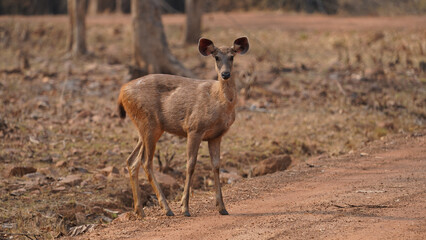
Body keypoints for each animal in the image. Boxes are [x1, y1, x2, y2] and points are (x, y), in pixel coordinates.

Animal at [117, 36, 250, 218]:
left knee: (132, 160)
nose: (225, 74)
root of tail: (122, 91)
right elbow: (191, 164)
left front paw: (222, 207)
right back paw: (167, 208)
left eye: (232, 57)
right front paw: (185, 207)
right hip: (150, 124)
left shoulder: (216, 135)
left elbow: (216, 166)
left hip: (144, 128)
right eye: (216, 57)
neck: (220, 101)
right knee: (146, 162)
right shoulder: (194, 128)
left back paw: (140, 211)